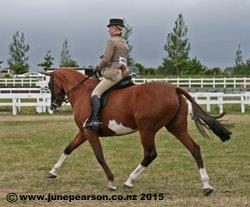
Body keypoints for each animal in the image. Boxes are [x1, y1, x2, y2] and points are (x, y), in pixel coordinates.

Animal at [45, 68, 230, 196]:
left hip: (146, 130)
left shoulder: (90, 133)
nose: (53, 106)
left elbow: (99, 156)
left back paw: (129, 181)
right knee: (194, 149)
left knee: (150, 154)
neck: (82, 92)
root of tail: (173, 88)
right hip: (176, 128)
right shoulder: (84, 132)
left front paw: (111, 182)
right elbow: (68, 148)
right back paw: (207, 186)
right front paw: (53, 172)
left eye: (49, 85)